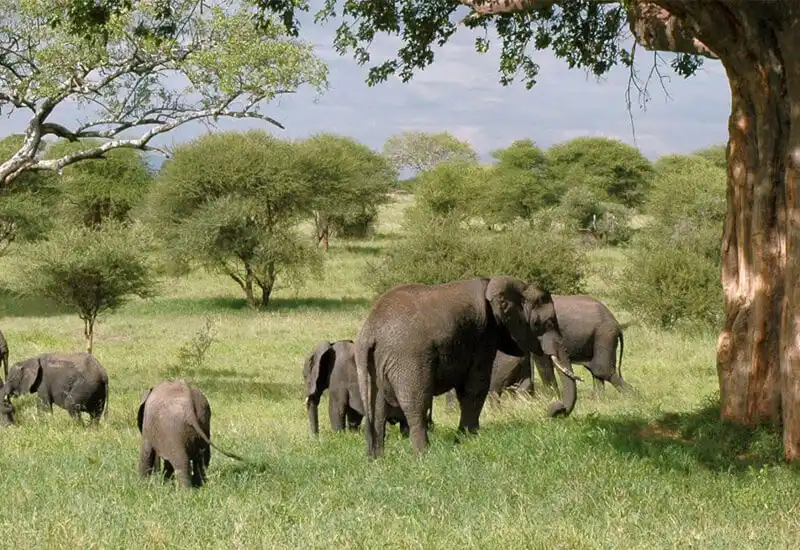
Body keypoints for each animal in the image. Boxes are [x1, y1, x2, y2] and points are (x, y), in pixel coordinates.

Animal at [303, 339, 433, 437]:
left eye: (304, 376)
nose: (316, 437)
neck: (331, 345)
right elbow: (353, 412)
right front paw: (353, 434)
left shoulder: (337, 377)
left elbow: (337, 408)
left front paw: (338, 436)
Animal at [354, 275, 577, 458]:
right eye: (546, 323)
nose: (554, 410)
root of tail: (370, 331)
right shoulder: (484, 334)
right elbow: (476, 385)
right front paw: (468, 440)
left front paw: (467, 438)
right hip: (409, 359)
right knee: (416, 403)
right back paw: (424, 455)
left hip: (372, 363)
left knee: (378, 408)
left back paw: (377, 459)